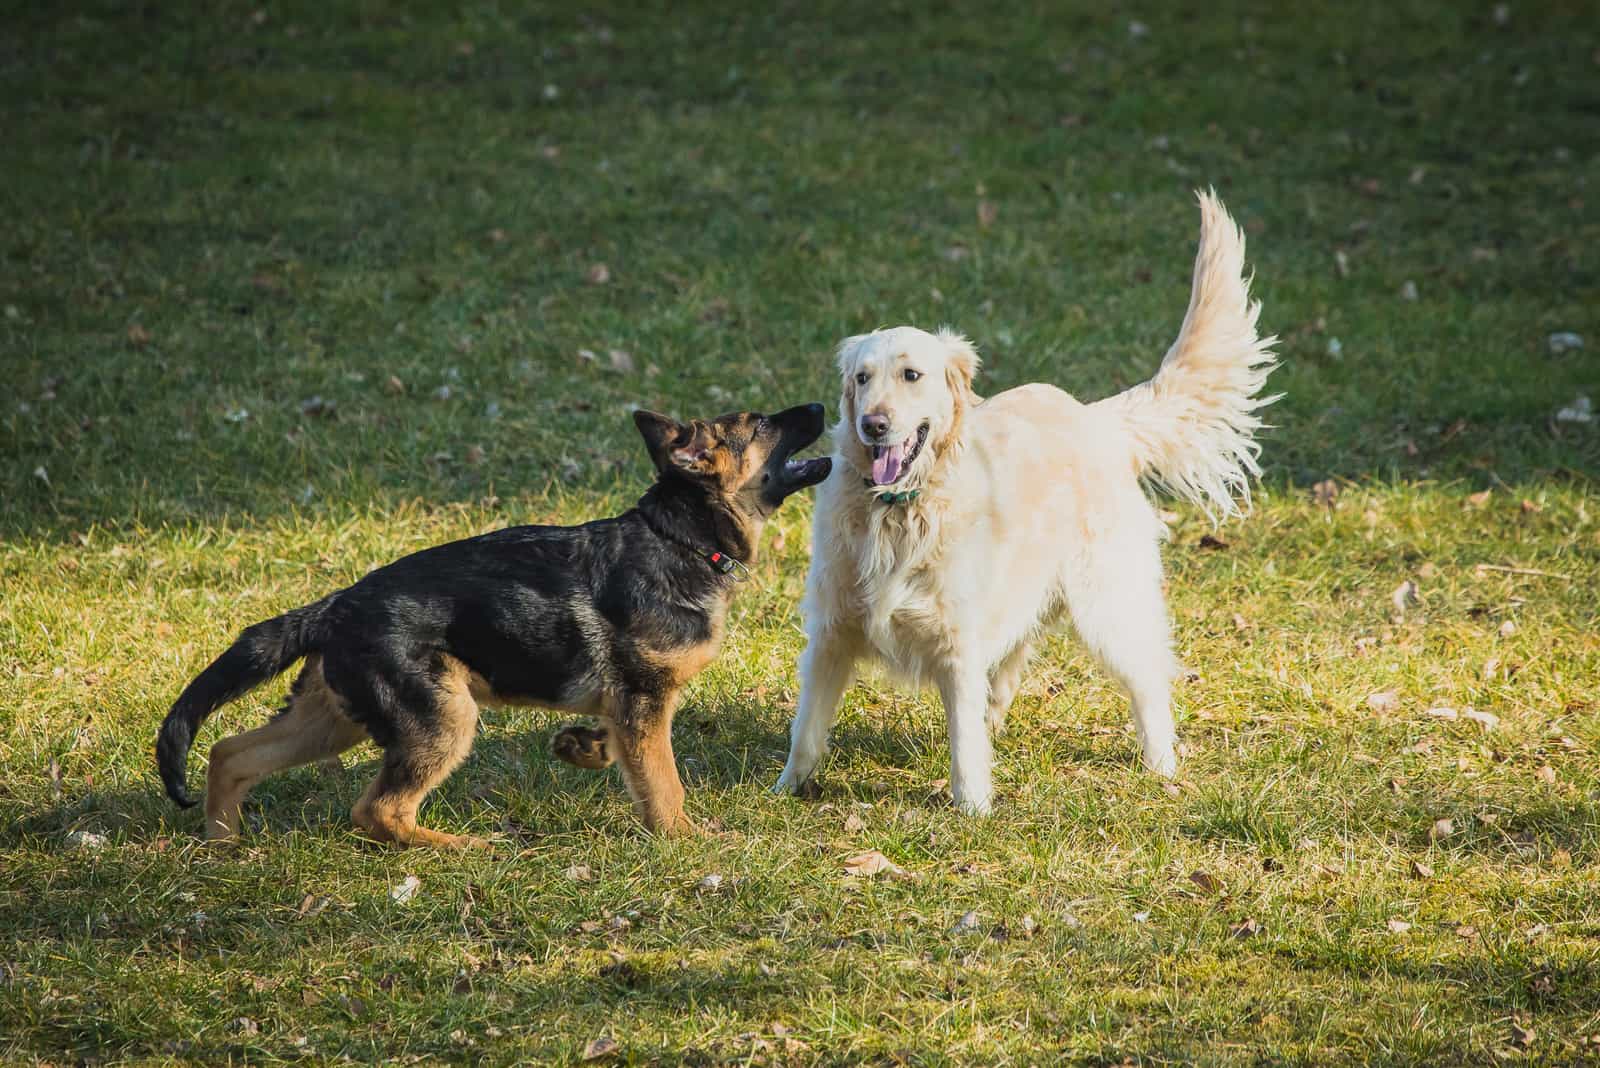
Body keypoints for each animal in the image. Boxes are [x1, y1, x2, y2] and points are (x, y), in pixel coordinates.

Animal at [159, 404, 838, 844]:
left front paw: (582, 749)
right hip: (443, 717)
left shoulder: (627, 708)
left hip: (331, 720)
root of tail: (335, 606)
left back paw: (224, 845)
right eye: (761, 423)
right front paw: (687, 838)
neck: (682, 537)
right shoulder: (645, 700)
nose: (820, 404)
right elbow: (664, 783)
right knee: (377, 812)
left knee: (229, 753)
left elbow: (624, 755)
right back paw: (462, 848)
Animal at [768, 191, 1280, 812]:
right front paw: (784, 791)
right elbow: (806, 730)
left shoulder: (956, 644)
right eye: (862, 378)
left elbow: (964, 746)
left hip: (1109, 607)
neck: (900, 509)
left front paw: (971, 809)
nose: (874, 425)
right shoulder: (830, 633)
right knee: (1012, 664)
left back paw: (1161, 766)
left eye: (911, 375)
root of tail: (1096, 417)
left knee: (1148, 682)